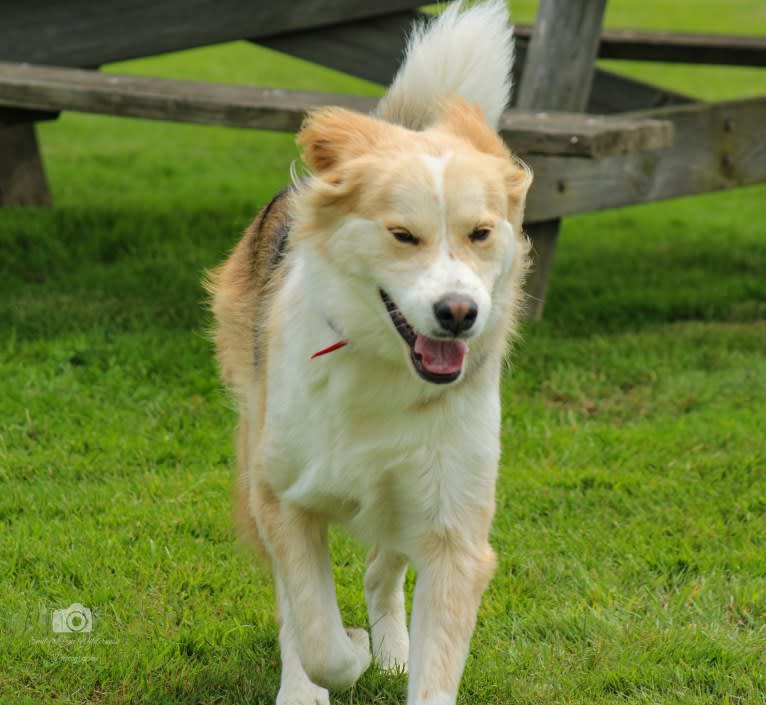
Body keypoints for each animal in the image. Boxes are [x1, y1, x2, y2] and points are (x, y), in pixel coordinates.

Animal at [208, 2, 536, 700]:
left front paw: (383, 654)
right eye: (403, 235)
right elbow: (316, 633)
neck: (381, 373)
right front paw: (341, 661)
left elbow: (432, 668)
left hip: (403, 510)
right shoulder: (283, 500)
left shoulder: (454, 535)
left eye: (480, 233)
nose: (459, 313)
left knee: (380, 571)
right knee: (299, 607)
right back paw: (310, 681)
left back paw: (390, 649)